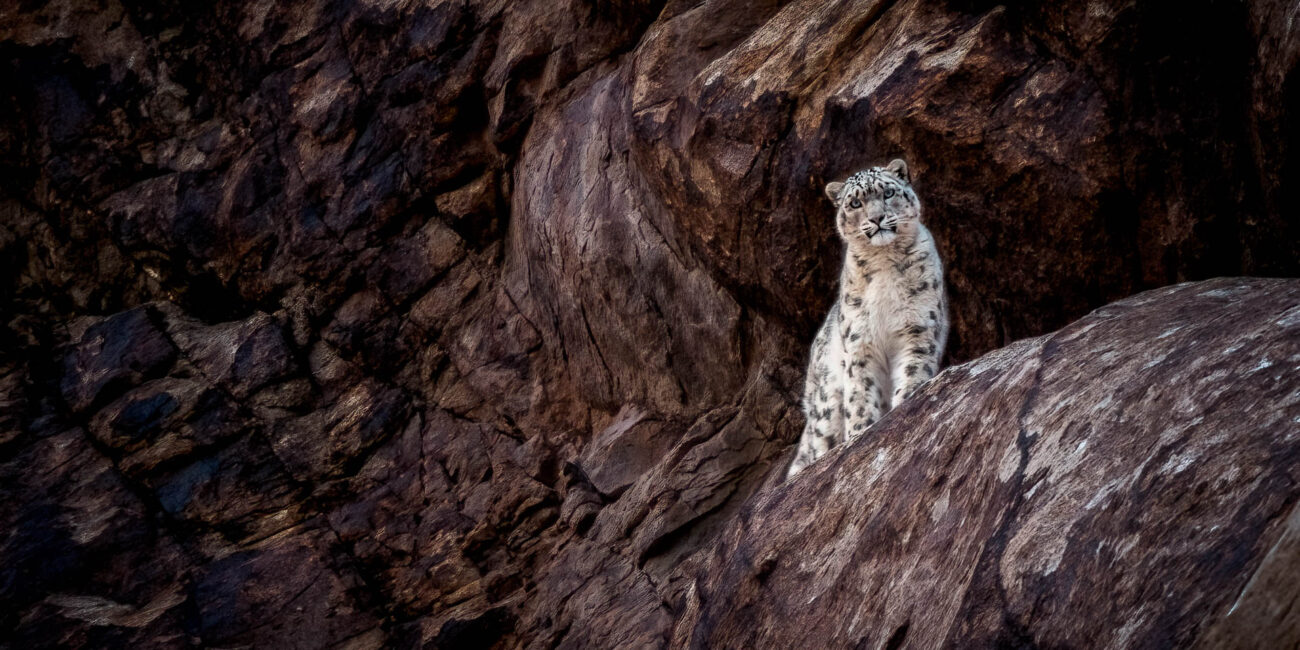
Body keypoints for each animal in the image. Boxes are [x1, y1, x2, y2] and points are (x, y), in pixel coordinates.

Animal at [785, 158, 951, 478]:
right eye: (855, 203)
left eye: (888, 193)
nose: (877, 218)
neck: (884, 261)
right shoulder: (860, 342)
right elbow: (860, 393)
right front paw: (861, 430)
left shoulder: (919, 327)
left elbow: (914, 368)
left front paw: (907, 398)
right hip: (825, 402)